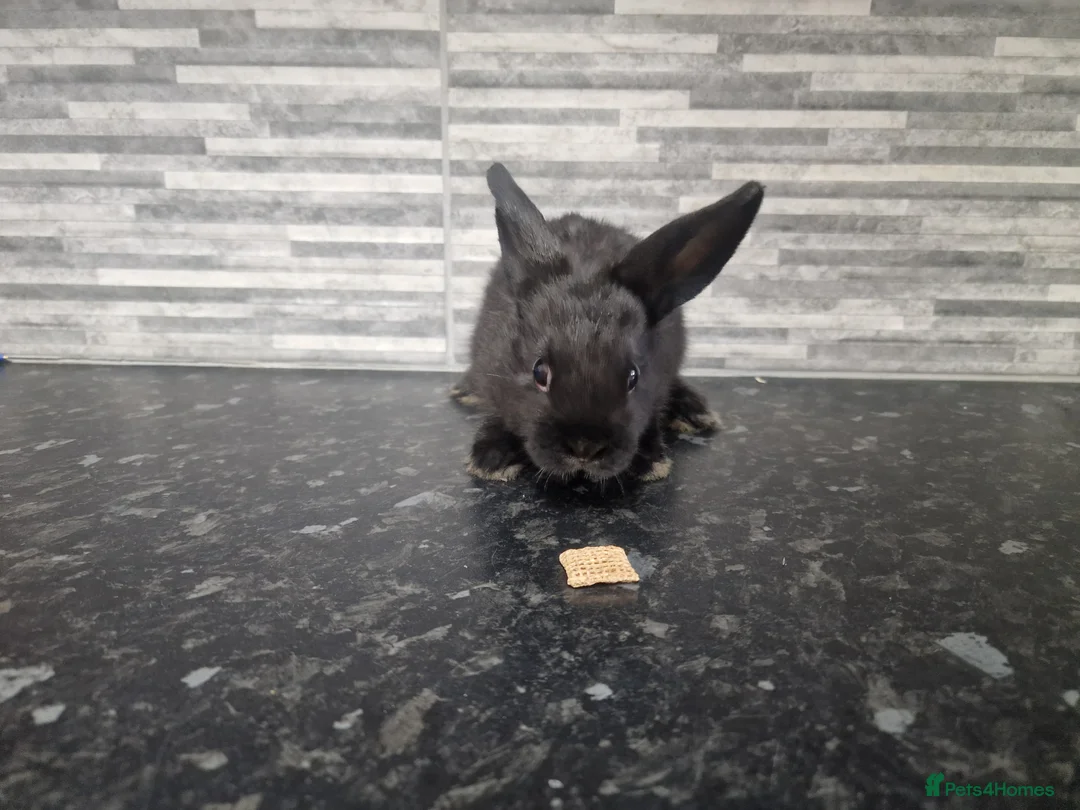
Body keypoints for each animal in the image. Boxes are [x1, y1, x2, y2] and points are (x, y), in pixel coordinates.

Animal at [450, 162, 764, 485]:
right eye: (539, 372)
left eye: (633, 376)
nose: (584, 448)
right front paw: (490, 459)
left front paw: (651, 462)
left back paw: (694, 411)